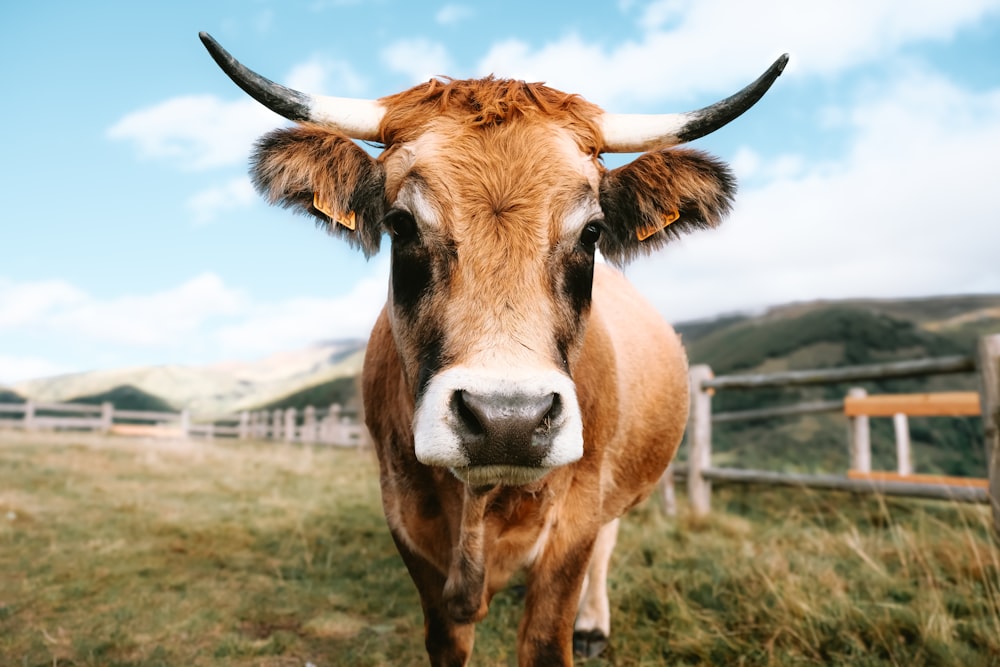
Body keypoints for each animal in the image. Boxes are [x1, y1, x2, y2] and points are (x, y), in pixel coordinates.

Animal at [199, 32, 784, 667]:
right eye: (400, 224)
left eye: (592, 232)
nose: (509, 419)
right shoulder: (406, 518)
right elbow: (447, 640)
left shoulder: (574, 522)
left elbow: (549, 635)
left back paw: (593, 623)